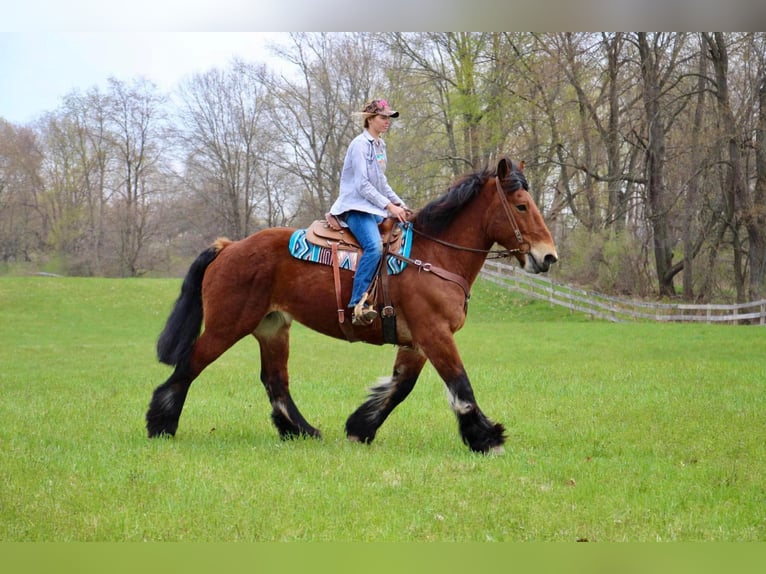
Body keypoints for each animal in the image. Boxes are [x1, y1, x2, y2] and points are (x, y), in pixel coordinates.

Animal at [147, 158, 560, 454]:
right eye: (522, 206)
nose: (548, 256)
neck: (433, 255)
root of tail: (229, 246)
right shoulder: (435, 333)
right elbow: (460, 385)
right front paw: (487, 438)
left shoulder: (417, 341)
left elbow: (400, 386)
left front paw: (361, 428)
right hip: (226, 326)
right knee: (189, 366)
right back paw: (160, 424)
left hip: (272, 327)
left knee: (275, 381)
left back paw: (301, 431)